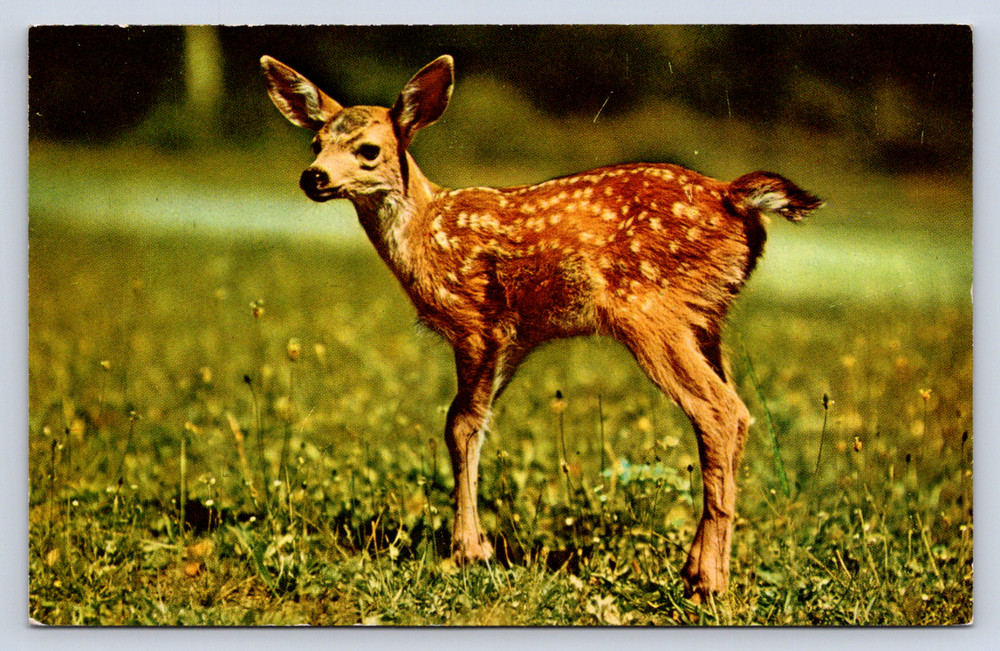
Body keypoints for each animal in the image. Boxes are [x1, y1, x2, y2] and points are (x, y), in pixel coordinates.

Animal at [260, 53, 822, 599]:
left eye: (369, 150)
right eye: (315, 143)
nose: (313, 177)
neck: (425, 233)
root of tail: (734, 195)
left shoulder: (476, 322)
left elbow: (460, 425)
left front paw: (469, 550)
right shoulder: (515, 338)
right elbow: (475, 422)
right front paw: (474, 544)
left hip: (650, 310)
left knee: (720, 413)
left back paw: (708, 582)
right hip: (706, 317)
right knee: (735, 414)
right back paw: (697, 569)